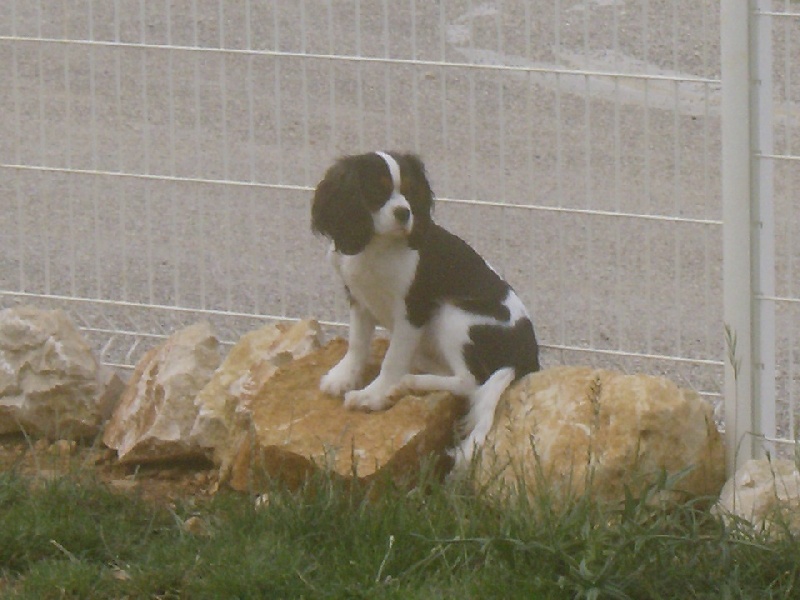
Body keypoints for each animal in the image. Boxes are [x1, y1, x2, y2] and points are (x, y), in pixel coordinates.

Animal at [311, 151, 540, 464]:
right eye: (377, 190)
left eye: (409, 190)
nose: (404, 213)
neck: (377, 246)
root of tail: (526, 355)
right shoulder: (358, 298)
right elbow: (357, 343)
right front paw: (342, 377)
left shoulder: (412, 310)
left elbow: (393, 358)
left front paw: (374, 394)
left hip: (453, 314)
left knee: (471, 382)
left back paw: (408, 382)